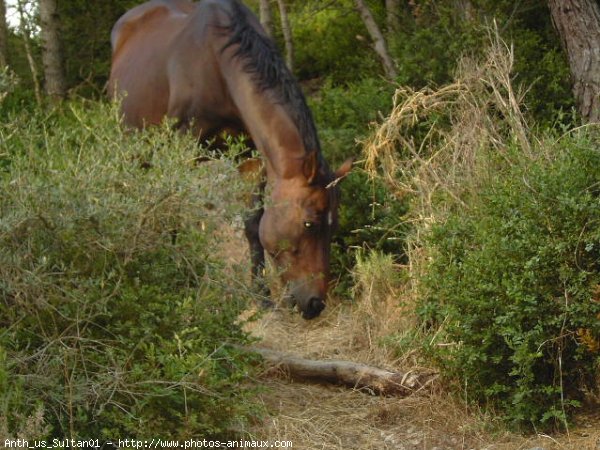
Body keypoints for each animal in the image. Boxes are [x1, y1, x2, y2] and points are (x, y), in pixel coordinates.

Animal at [109, 0, 352, 320]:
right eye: (309, 224)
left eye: (333, 227)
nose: (315, 304)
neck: (217, 67)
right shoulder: (179, 152)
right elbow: (174, 213)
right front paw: (178, 280)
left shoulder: (251, 157)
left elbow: (252, 225)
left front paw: (261, 297)